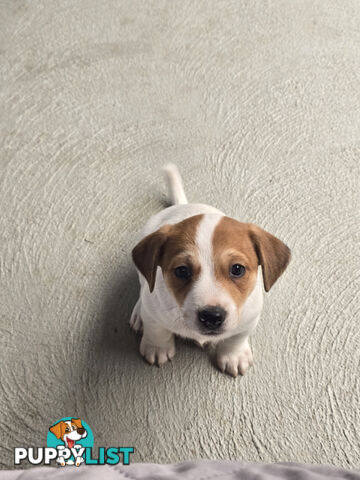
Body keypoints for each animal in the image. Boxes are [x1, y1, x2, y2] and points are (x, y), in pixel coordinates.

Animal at [129, 164, 290, 376]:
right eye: (182, 271)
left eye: (237, 269)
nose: (212, 317)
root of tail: (184, 205)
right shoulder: (154, 309)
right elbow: (157, 329)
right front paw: (157, 348)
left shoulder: (249, 318)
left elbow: (236, 338)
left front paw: (233, 355)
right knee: (143, 287)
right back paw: (139, 314)